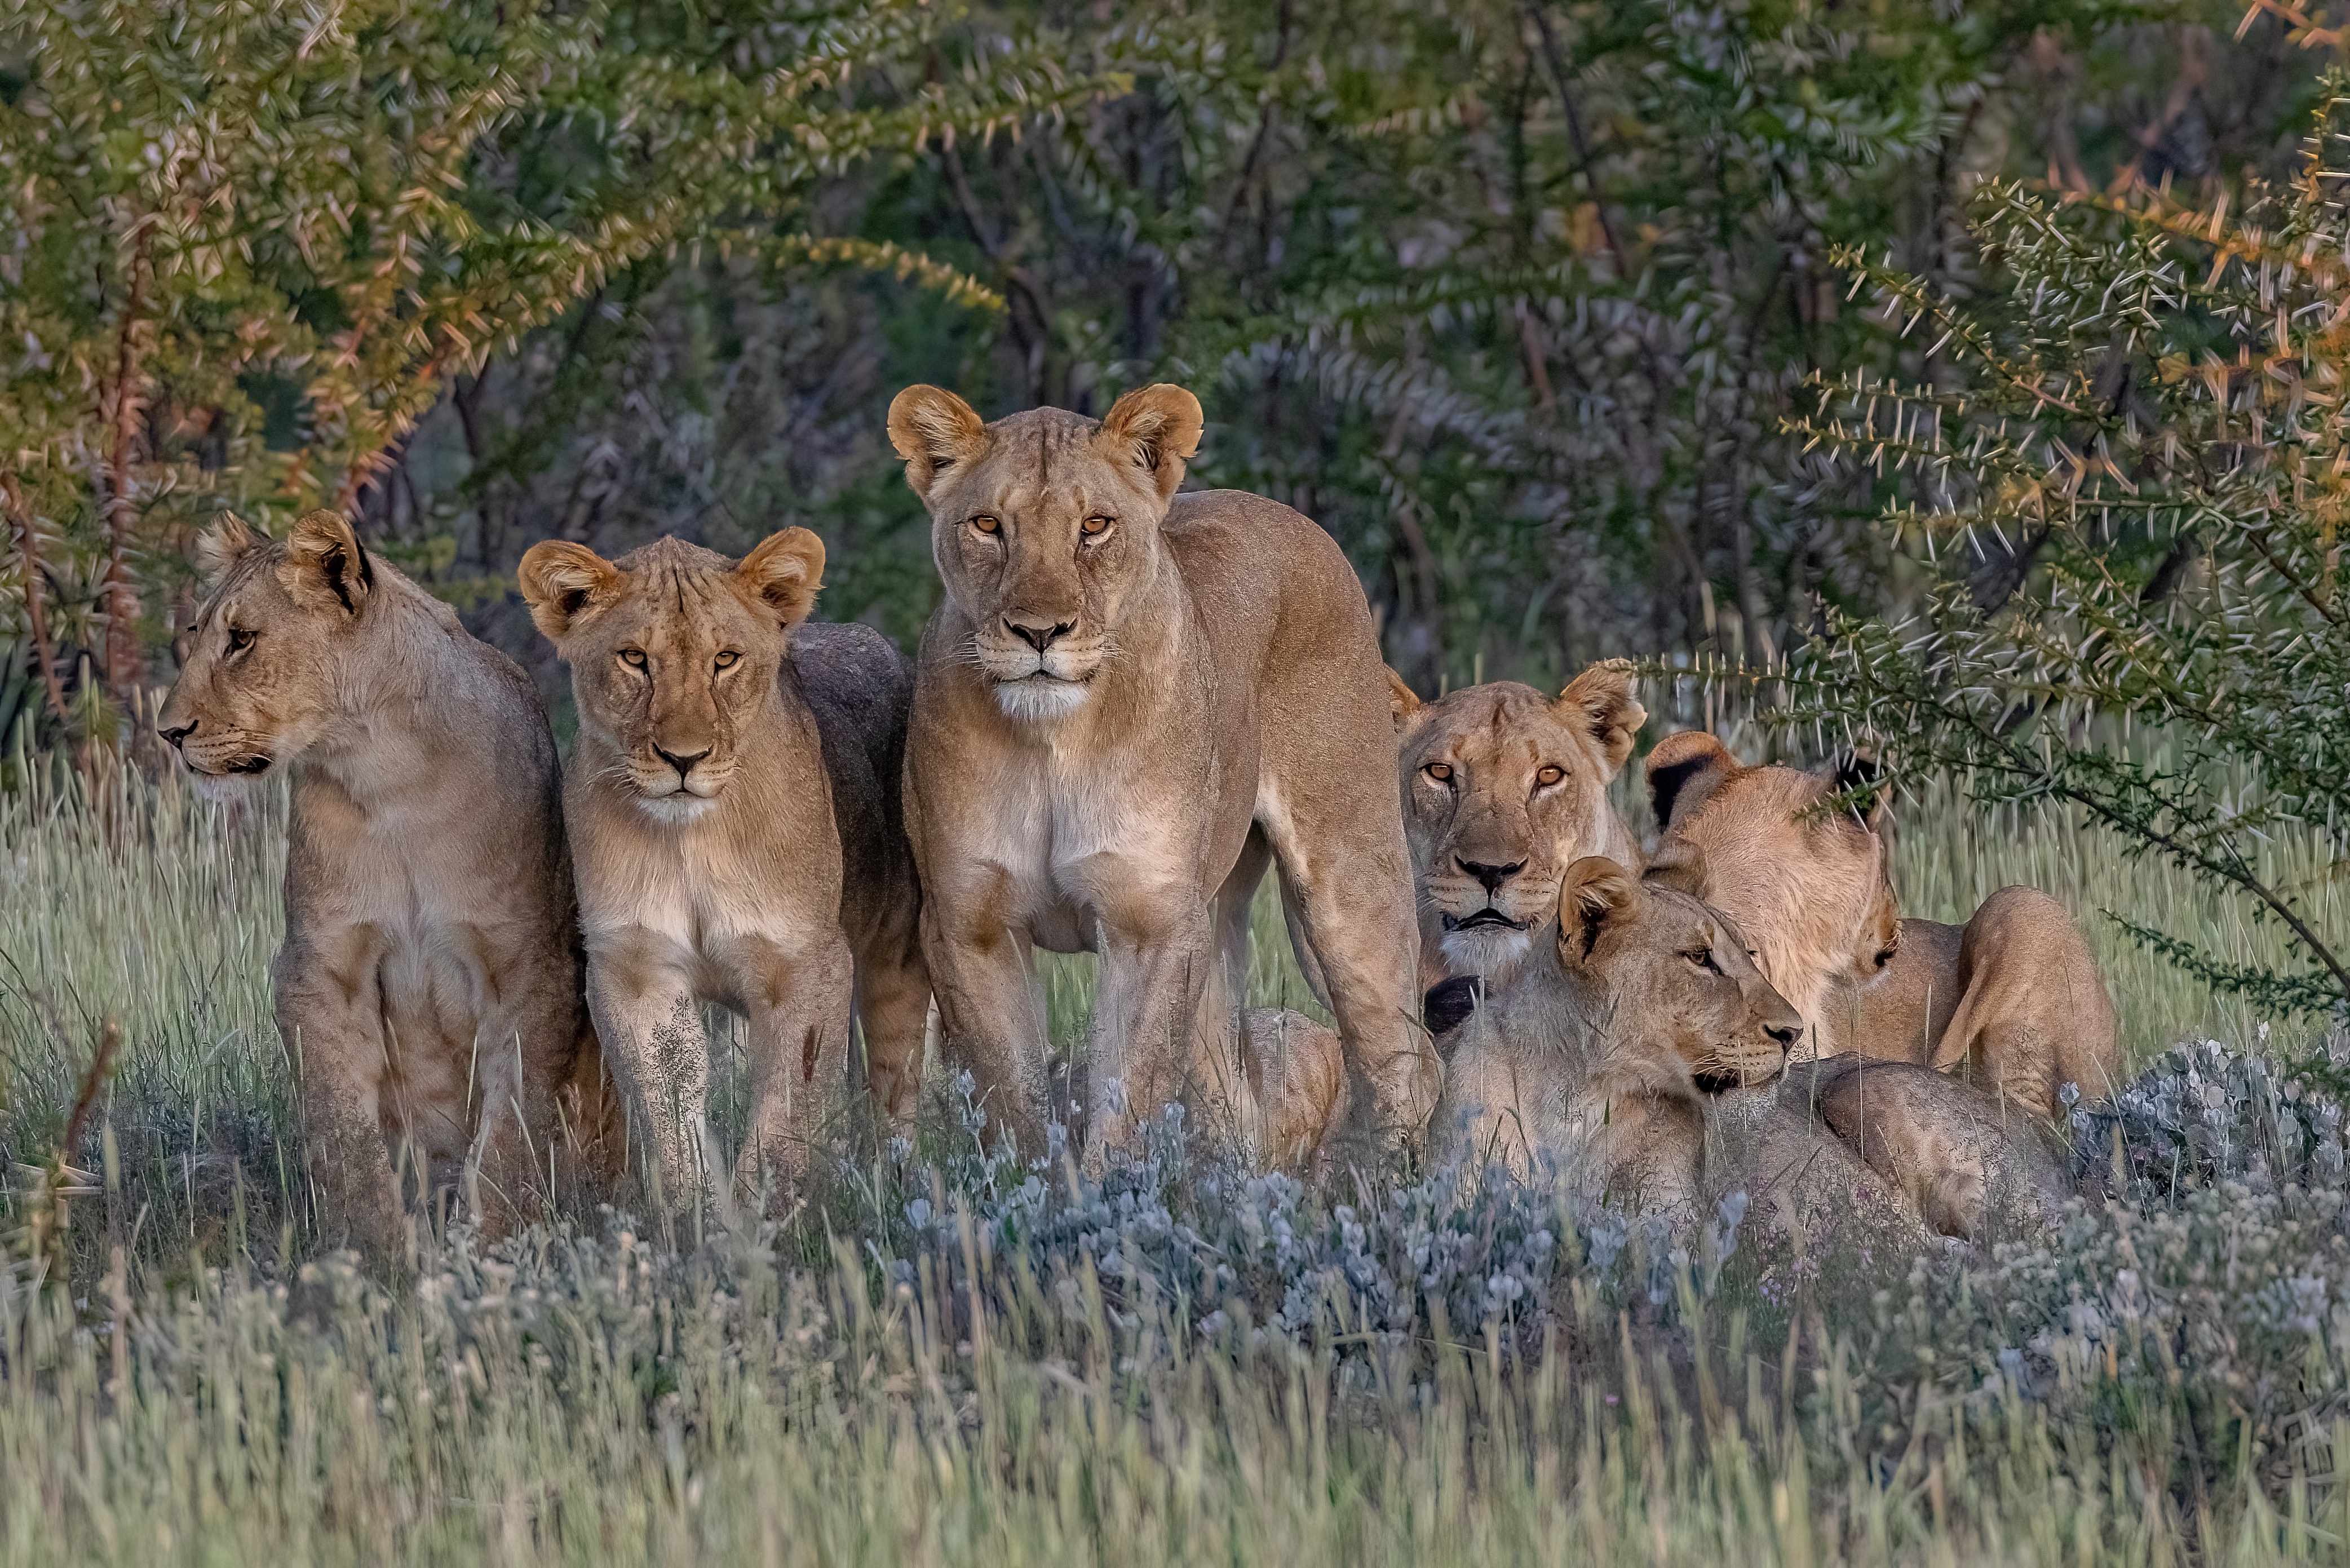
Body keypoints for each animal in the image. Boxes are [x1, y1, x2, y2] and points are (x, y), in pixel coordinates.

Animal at [156, 511, 616, 1265]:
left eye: (242, 638)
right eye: (196, 634)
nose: (169, 732)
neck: (387, 774)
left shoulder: (532, 966)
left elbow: (509, 1130)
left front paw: (490, 1245)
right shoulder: (320, 966)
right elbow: (342, 1129)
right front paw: (374, 1253)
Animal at [517, 531, 927, 1217]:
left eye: (726, 660)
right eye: (634, 659)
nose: (683, 759)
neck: (690, 840)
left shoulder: (805, 962)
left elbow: (785, 1107)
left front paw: (770, 1212)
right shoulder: (634, 968)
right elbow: (667, 1108)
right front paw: (699, 1217)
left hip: (894, 955)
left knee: (900, 1080)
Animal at [886, 382, 1431, 1166]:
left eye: (1094, 526)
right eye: (988, 525)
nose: (1039, 633)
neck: (1053, 741)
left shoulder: (1150, 925)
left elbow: (1127, 1104)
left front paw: (1102, 1196)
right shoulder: (969, 926)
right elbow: (1014, 1102)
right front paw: (1039, 1190)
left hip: (1347, 888)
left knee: (1398, 1059)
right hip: (1210, 929)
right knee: (1236, 1104)